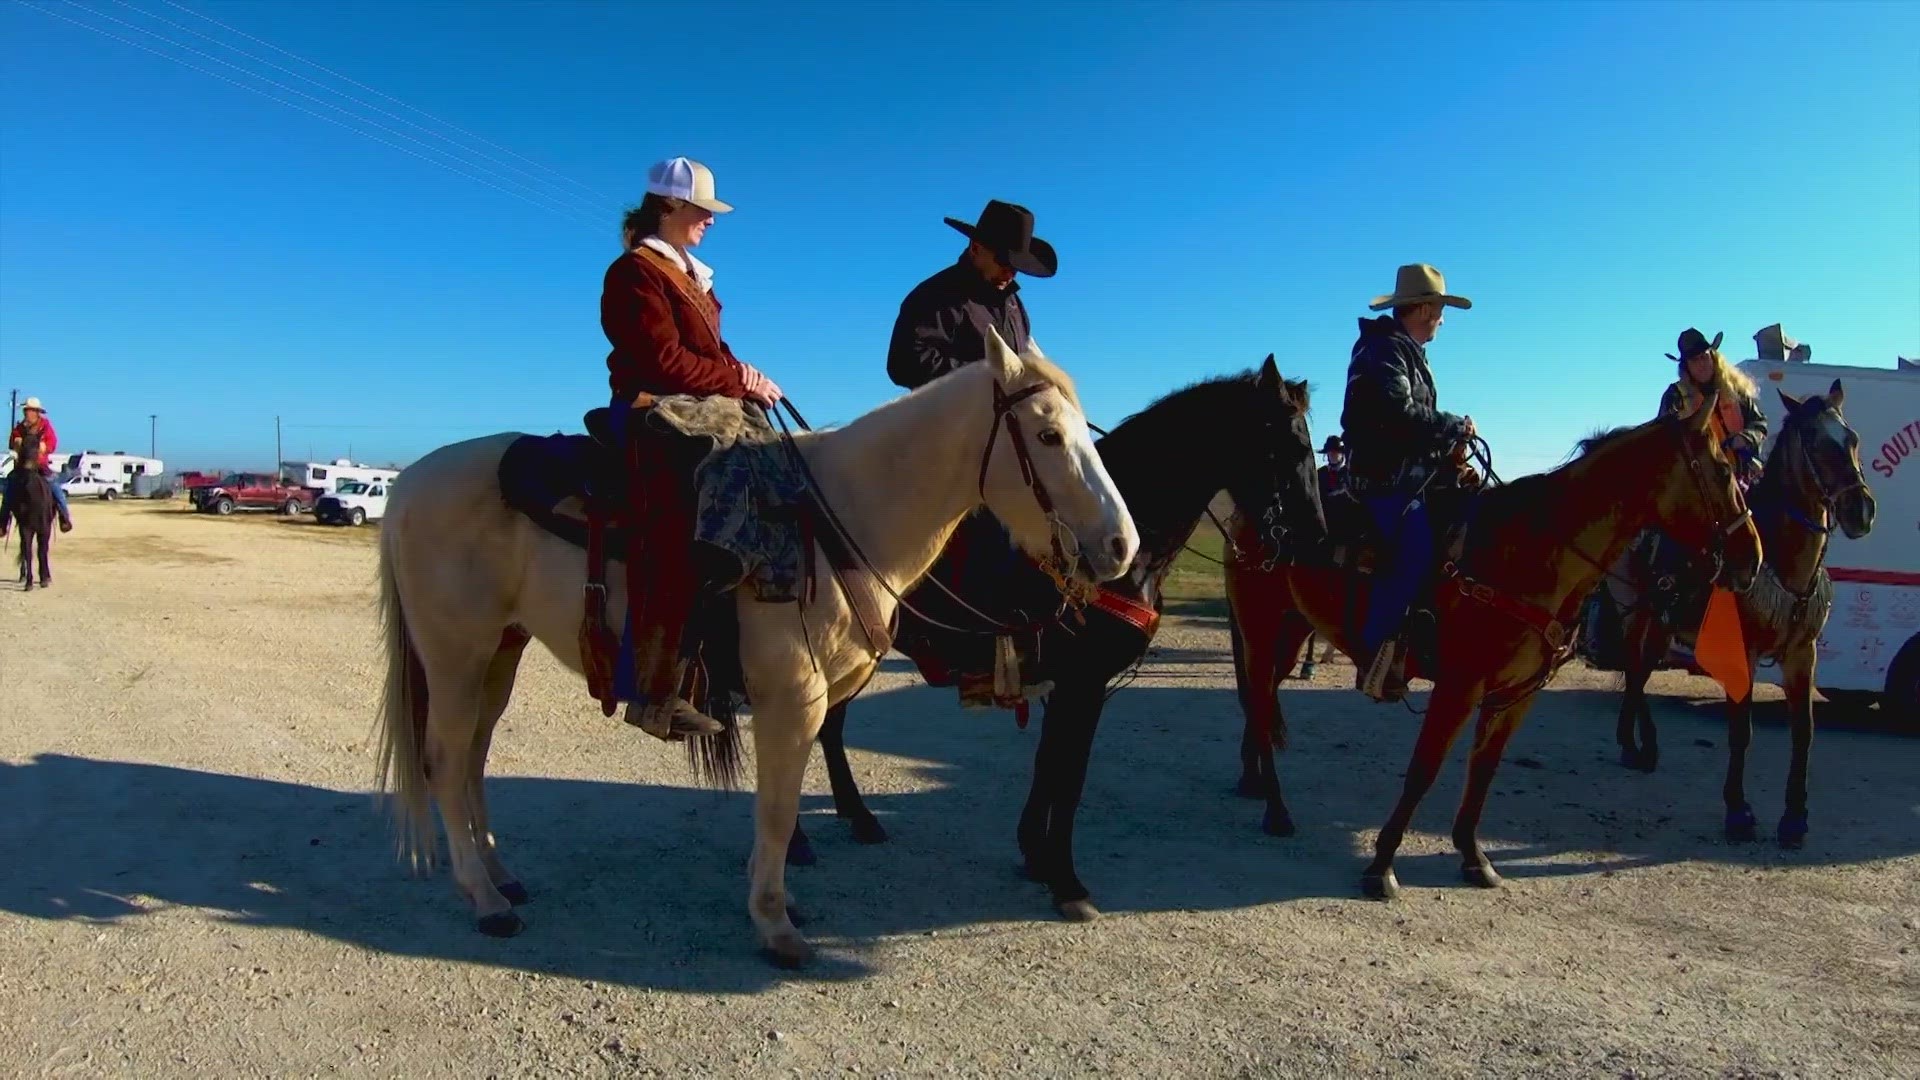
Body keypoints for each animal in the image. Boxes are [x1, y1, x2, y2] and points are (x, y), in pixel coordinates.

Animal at [370, 332, 1136, 960]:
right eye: (1046, 435)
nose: (1119, 547)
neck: (839, 516)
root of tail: (408, 484)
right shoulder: (792, 700)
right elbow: (777, 808)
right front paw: (774, 923)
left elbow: (783, 801)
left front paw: (778, 901)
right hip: (456, 655)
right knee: (445, 761)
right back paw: (484, 899)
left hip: (500, 650)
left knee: (473, 757)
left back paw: (500, 874)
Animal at [787, 357, 1328, 922]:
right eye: (1288, 447)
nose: (1316, 539)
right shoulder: (1083, 685)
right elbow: (1069, 778)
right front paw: (1067, 882)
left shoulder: (1062, 685)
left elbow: (1048, 768)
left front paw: (1035, 854)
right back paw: (799, 842)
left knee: (829, 727)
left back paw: (860, 818)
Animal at [1221, 390, 1758, 895]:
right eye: (1722, 470)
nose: (1751, 557)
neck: (1533, 553)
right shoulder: (1459, 686)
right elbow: (1425, 768)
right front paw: (1381, 866)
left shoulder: (1516, 695)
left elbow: (1483, 769)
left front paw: (1474, 857)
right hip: (1260, 626)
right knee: (1259, 699)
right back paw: (1276, 810)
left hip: (1291, 630)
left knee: (1262, 700)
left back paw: (1254, 783)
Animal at [1605, 378, 1873, 841]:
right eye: (1814, 440)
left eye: (1852, 438)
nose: (1861, 511)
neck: (1783, 562)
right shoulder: (1741, 653)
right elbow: (1740, 731)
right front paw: (1738, 810)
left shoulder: (1803, 654)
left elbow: (1803, 732)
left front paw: (1794, 816)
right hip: (1638, 612)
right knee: (1636, 670)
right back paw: (1639, 747)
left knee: (1638, 672)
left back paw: (1637, 744)